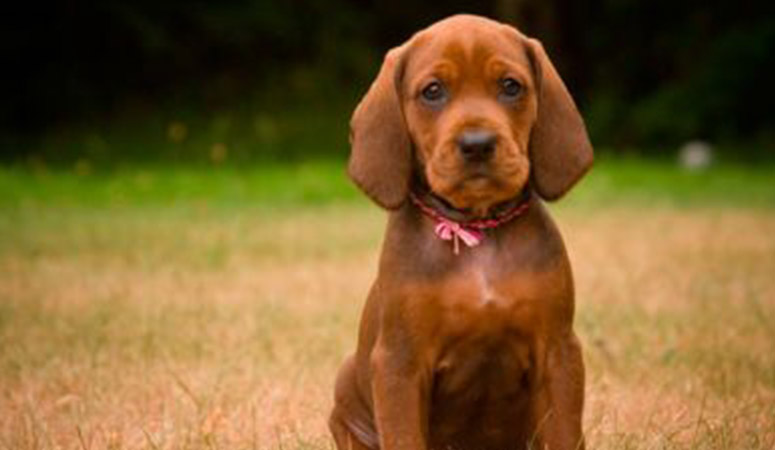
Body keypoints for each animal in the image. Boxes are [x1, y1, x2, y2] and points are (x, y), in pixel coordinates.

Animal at [330, 14, 592, 450]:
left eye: (510, 86)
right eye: (433, 91)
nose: (477, 144)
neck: (475, 230)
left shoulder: (559, 353)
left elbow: (564, 433)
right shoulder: (399, 362)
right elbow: (404, 437)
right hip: (347, 390)